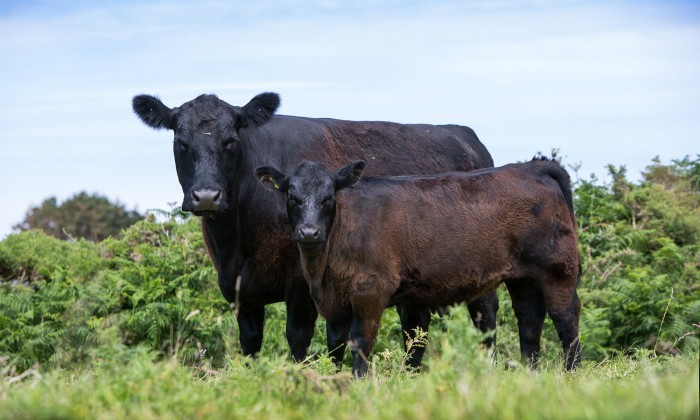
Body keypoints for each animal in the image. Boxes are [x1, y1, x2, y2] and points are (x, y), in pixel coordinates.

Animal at [131, 92, 500, 368]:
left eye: (231, 141)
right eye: (180, 141)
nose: (207, 195)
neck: (236, 241)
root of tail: (466, 136)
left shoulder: (301, 284)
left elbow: (300, 339)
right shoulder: (239, 290)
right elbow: (250, 343)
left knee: (485, 316)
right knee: (415, 326)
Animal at [256, 158, 580, 378]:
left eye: (328, 198)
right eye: (292, 197)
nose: (309, 232)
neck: (323, 270)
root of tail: (532, 168)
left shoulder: (371, 289)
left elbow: (360, 341)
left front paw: (358, 381)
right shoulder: (334, 302)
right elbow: (335, 345)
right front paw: (334, 377)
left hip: (558, 268)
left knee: (565, 317)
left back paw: (571, 372)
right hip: (523, 276)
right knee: (529, 319)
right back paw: (529, 372)